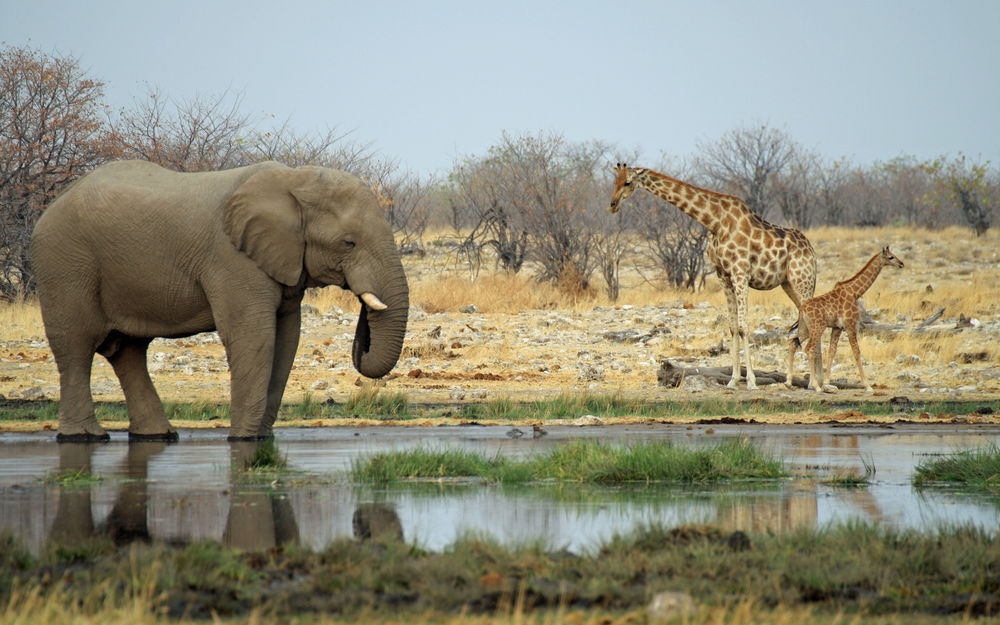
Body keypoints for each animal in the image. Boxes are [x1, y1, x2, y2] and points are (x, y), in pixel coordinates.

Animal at [32, 163, 406, 442]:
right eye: (348, 243)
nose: (363, 308)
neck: (292, 179)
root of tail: (50, 207)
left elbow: (287, 338)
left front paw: (260, 439)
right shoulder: (232, 258)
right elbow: (253, 335)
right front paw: (243, 439)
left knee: (128, 351)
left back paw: (157, 435)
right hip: (65, 265)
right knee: (76, 346)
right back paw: (84, 437)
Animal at [604, 163, 816, 388]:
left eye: (628, 182)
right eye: (615, 181)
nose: (613, 205)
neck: (715, 222)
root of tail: (811, 250)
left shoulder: (740, 274)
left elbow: (743, 326)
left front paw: (750, 381)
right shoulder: (724, 277)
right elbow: (732, 327)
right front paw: (733, 380)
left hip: (802, 281)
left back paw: (815, 383)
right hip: (789, 284)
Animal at [788, 246, 908, 392]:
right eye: (891, 257)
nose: (901, 264)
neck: (855, 292)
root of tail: (802, 309)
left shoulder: (837, 327)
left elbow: (832, 351)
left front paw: (827, 383)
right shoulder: (850, 325)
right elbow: (857, 352)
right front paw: (867, 386)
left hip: (805, 328)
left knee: (793, 343)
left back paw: (788, 382)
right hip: (818, 327)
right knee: (809, 349)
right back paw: (816, 386)